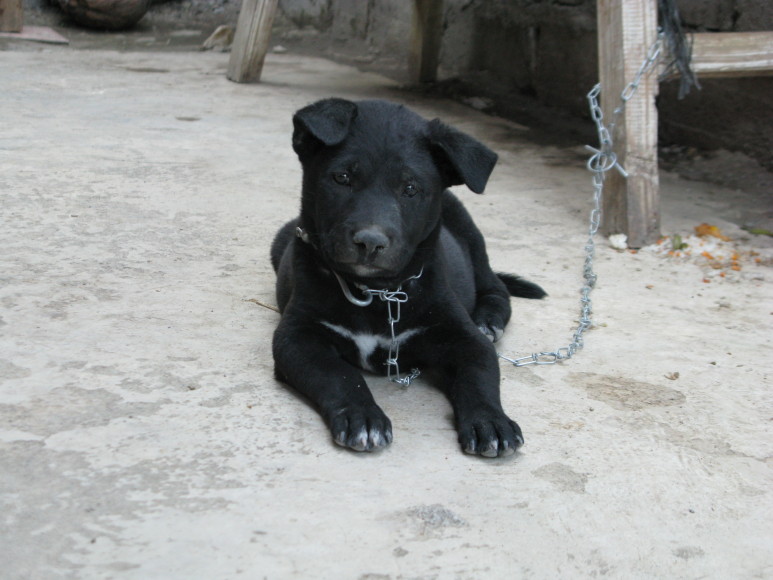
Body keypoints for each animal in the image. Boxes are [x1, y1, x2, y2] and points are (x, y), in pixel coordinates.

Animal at [272, 98, 544, 458]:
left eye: (411, 189)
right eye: (342, 177)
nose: (370, 242)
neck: (378, 294)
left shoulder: (462, 336)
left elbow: (480, 374)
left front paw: (491, 422)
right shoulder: (297, 335)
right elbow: (339, 374)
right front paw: (363, 417)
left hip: (471, 235)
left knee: (495, 287)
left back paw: (489, 319)